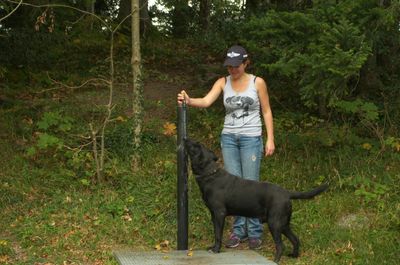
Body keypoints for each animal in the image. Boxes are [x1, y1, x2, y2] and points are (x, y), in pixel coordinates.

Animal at [185, 138, 328, 262]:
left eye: (196, 145)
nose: (185, 138)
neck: (210, 174)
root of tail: (286, 193)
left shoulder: (219, 214)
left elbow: (218, 234)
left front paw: (216, 250)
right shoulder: (213, 215)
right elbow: (216, 233)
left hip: (274, 223)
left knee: (281, 245)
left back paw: (276, 260)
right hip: (283, 224)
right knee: (295, 239)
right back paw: (294, 255)